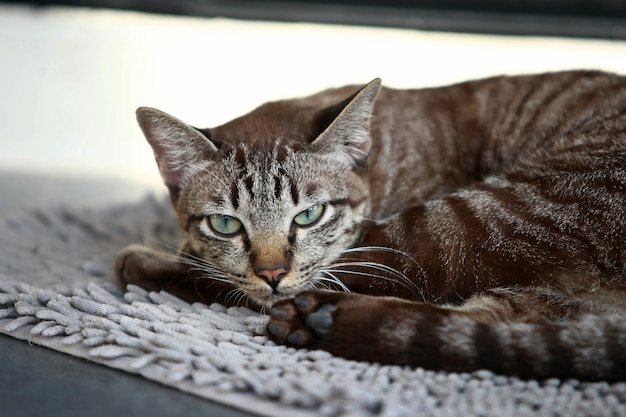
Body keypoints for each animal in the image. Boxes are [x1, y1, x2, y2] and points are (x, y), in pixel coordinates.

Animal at [114, 70, 624, 380]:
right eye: (225, 224)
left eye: (309, 215)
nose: (272, 273)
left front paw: (157, 259)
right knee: (489, 332)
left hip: (470, 217)